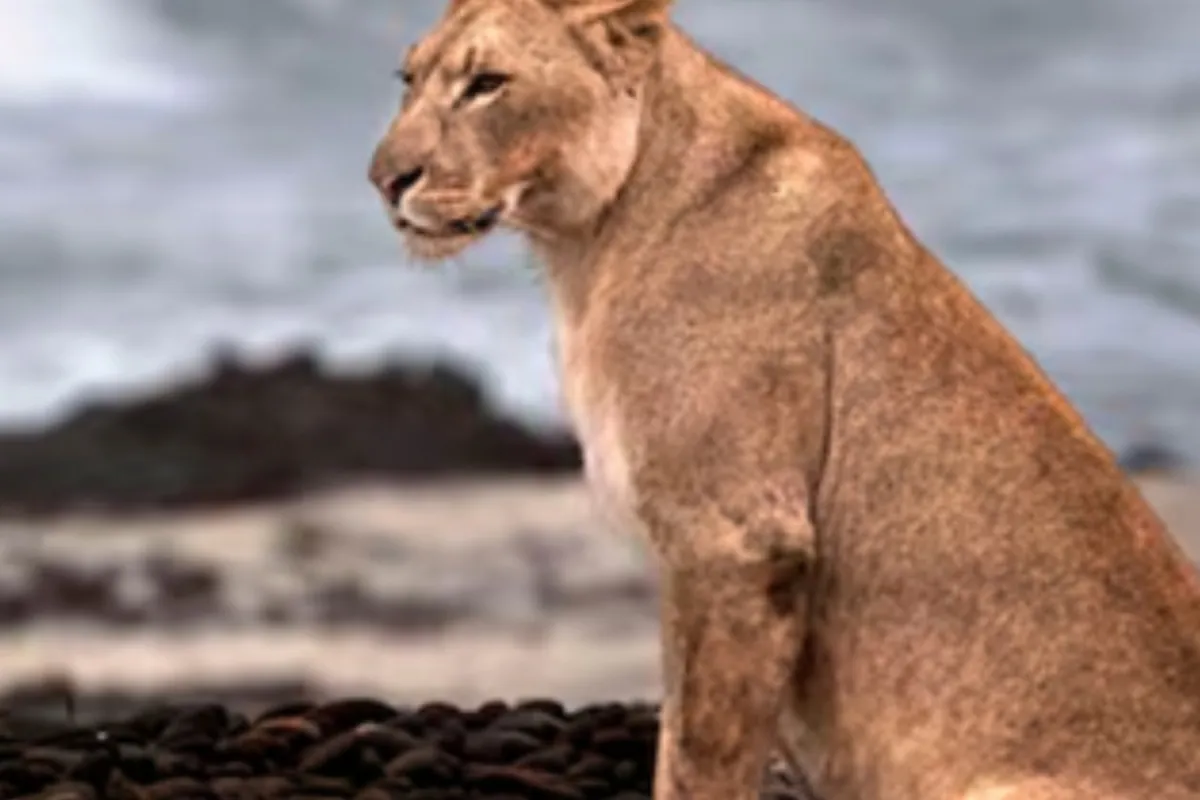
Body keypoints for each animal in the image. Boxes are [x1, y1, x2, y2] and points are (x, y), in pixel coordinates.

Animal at [367, 1, 1200, 798]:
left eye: (487, 84)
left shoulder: (735, 538)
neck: (588, 243)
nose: (384, 180)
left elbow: (698, 757)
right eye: (407, 79)